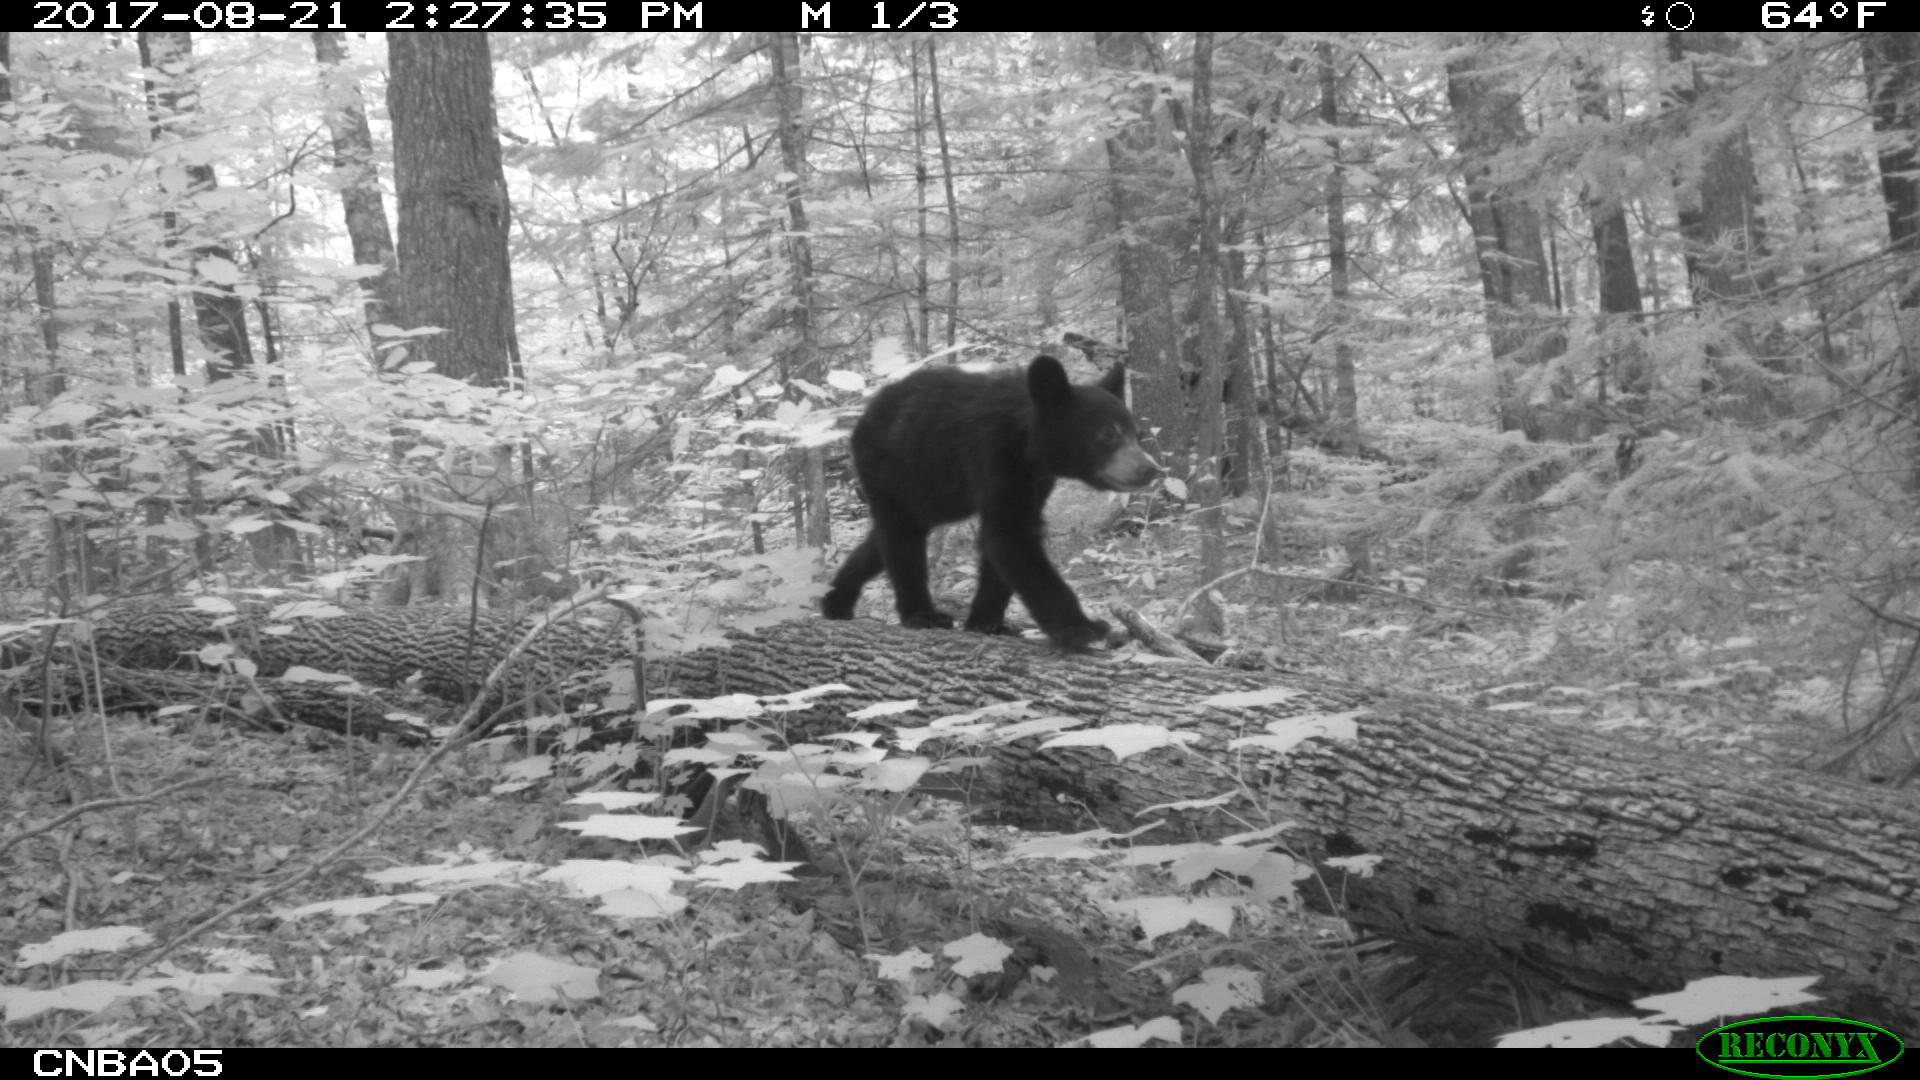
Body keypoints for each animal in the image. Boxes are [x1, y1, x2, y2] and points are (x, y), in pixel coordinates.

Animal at [821, 354, 1160, 650]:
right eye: (1107, 435)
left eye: (1137, 434)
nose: (1150, 468)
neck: (1029, 444)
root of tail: (863, 416)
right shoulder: (995, 454)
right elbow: (1009, 536)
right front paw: (1082, 628)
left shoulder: (1035, 481)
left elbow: (1006, 539)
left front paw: (986, 623)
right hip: (891, 469)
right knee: (901, 540)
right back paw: (921, 615)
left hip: (929, 493)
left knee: (882, 541)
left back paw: (835, 600)